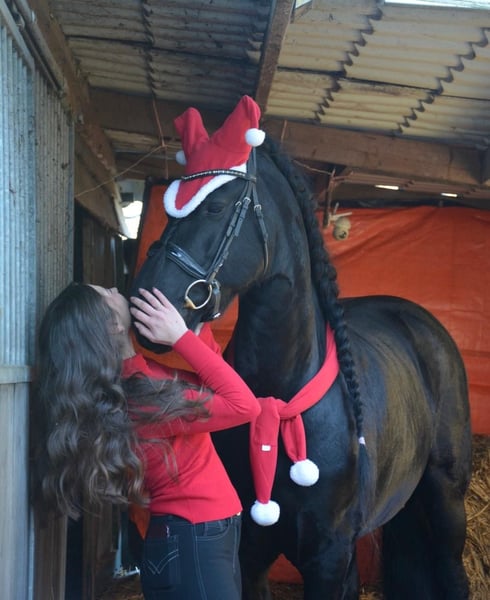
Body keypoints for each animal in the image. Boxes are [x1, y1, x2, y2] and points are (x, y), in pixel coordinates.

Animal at [131, 136, 472, 599]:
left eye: (215, 207)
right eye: (169, 211)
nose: (141, 303)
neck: (280, 399)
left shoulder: (327, 559)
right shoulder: (252, 555)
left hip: (446, 497)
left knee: (453, 573)